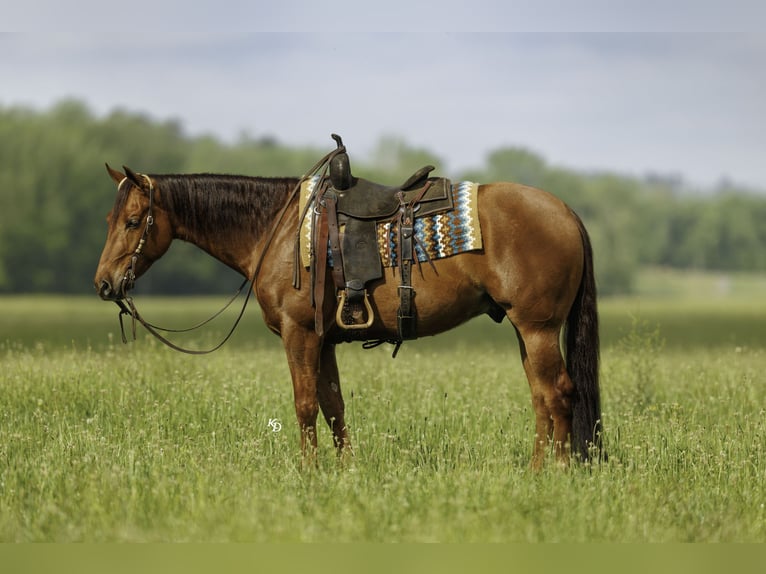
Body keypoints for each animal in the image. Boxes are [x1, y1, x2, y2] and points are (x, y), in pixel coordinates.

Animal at [94, 162, 603, 469]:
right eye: (110, 220)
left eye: (134, 222)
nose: (104, 284)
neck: (278, 230)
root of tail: (565, 211)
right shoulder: (323, 340)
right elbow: (333, 405)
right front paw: (344, 471)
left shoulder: (299, 334)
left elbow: (304, 405)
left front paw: (308, 473)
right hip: (525, 330)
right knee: (541, 398)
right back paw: (535, 471)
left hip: (537, 329)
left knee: (559, 394)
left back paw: (558, 472)